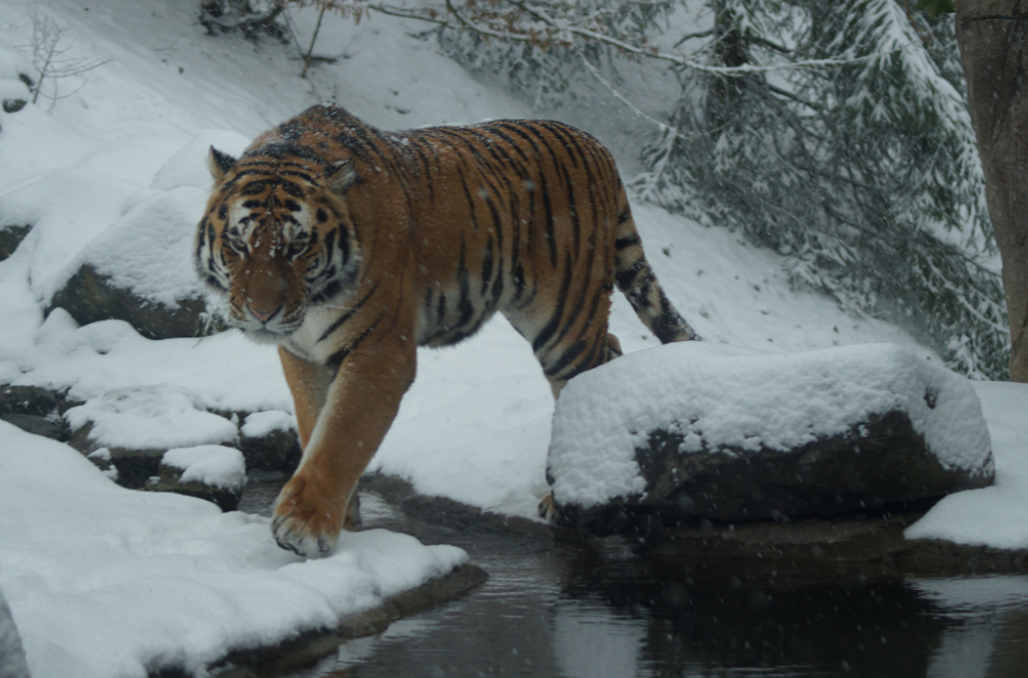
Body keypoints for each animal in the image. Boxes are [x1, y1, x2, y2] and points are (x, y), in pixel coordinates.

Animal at [193, 104, 699, 554]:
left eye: (298, 246)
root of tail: (597, 146)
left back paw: (567, 498)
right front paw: (345, 518)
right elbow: (314, 423)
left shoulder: (380, 352)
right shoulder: (302, 354)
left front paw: (304, 527)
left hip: (564, 322)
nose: (262, 313)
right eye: (238, 243)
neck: (316, 300)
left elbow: (340, 437)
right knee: (611, 348)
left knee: (586, 374)